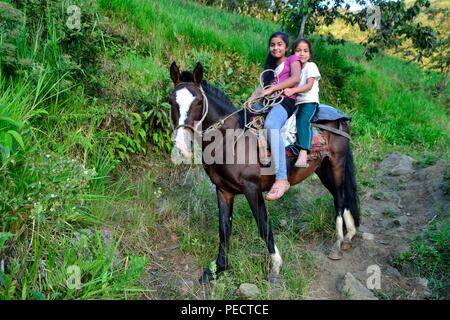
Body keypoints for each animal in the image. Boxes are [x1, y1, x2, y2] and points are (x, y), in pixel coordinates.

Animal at [167, 61, 360, 284]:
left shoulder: (252, 189)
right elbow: (224, 229)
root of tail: (340, 116)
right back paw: (349, 235)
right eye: (171, 101)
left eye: (198, 102)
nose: (181, 145)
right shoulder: (223, 191)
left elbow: (263, 225)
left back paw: (338, 242)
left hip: (337, 163)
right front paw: (218, 268)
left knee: (340, 198)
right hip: (323, 169)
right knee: (341, 196)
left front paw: (275, 266)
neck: (230, 141)